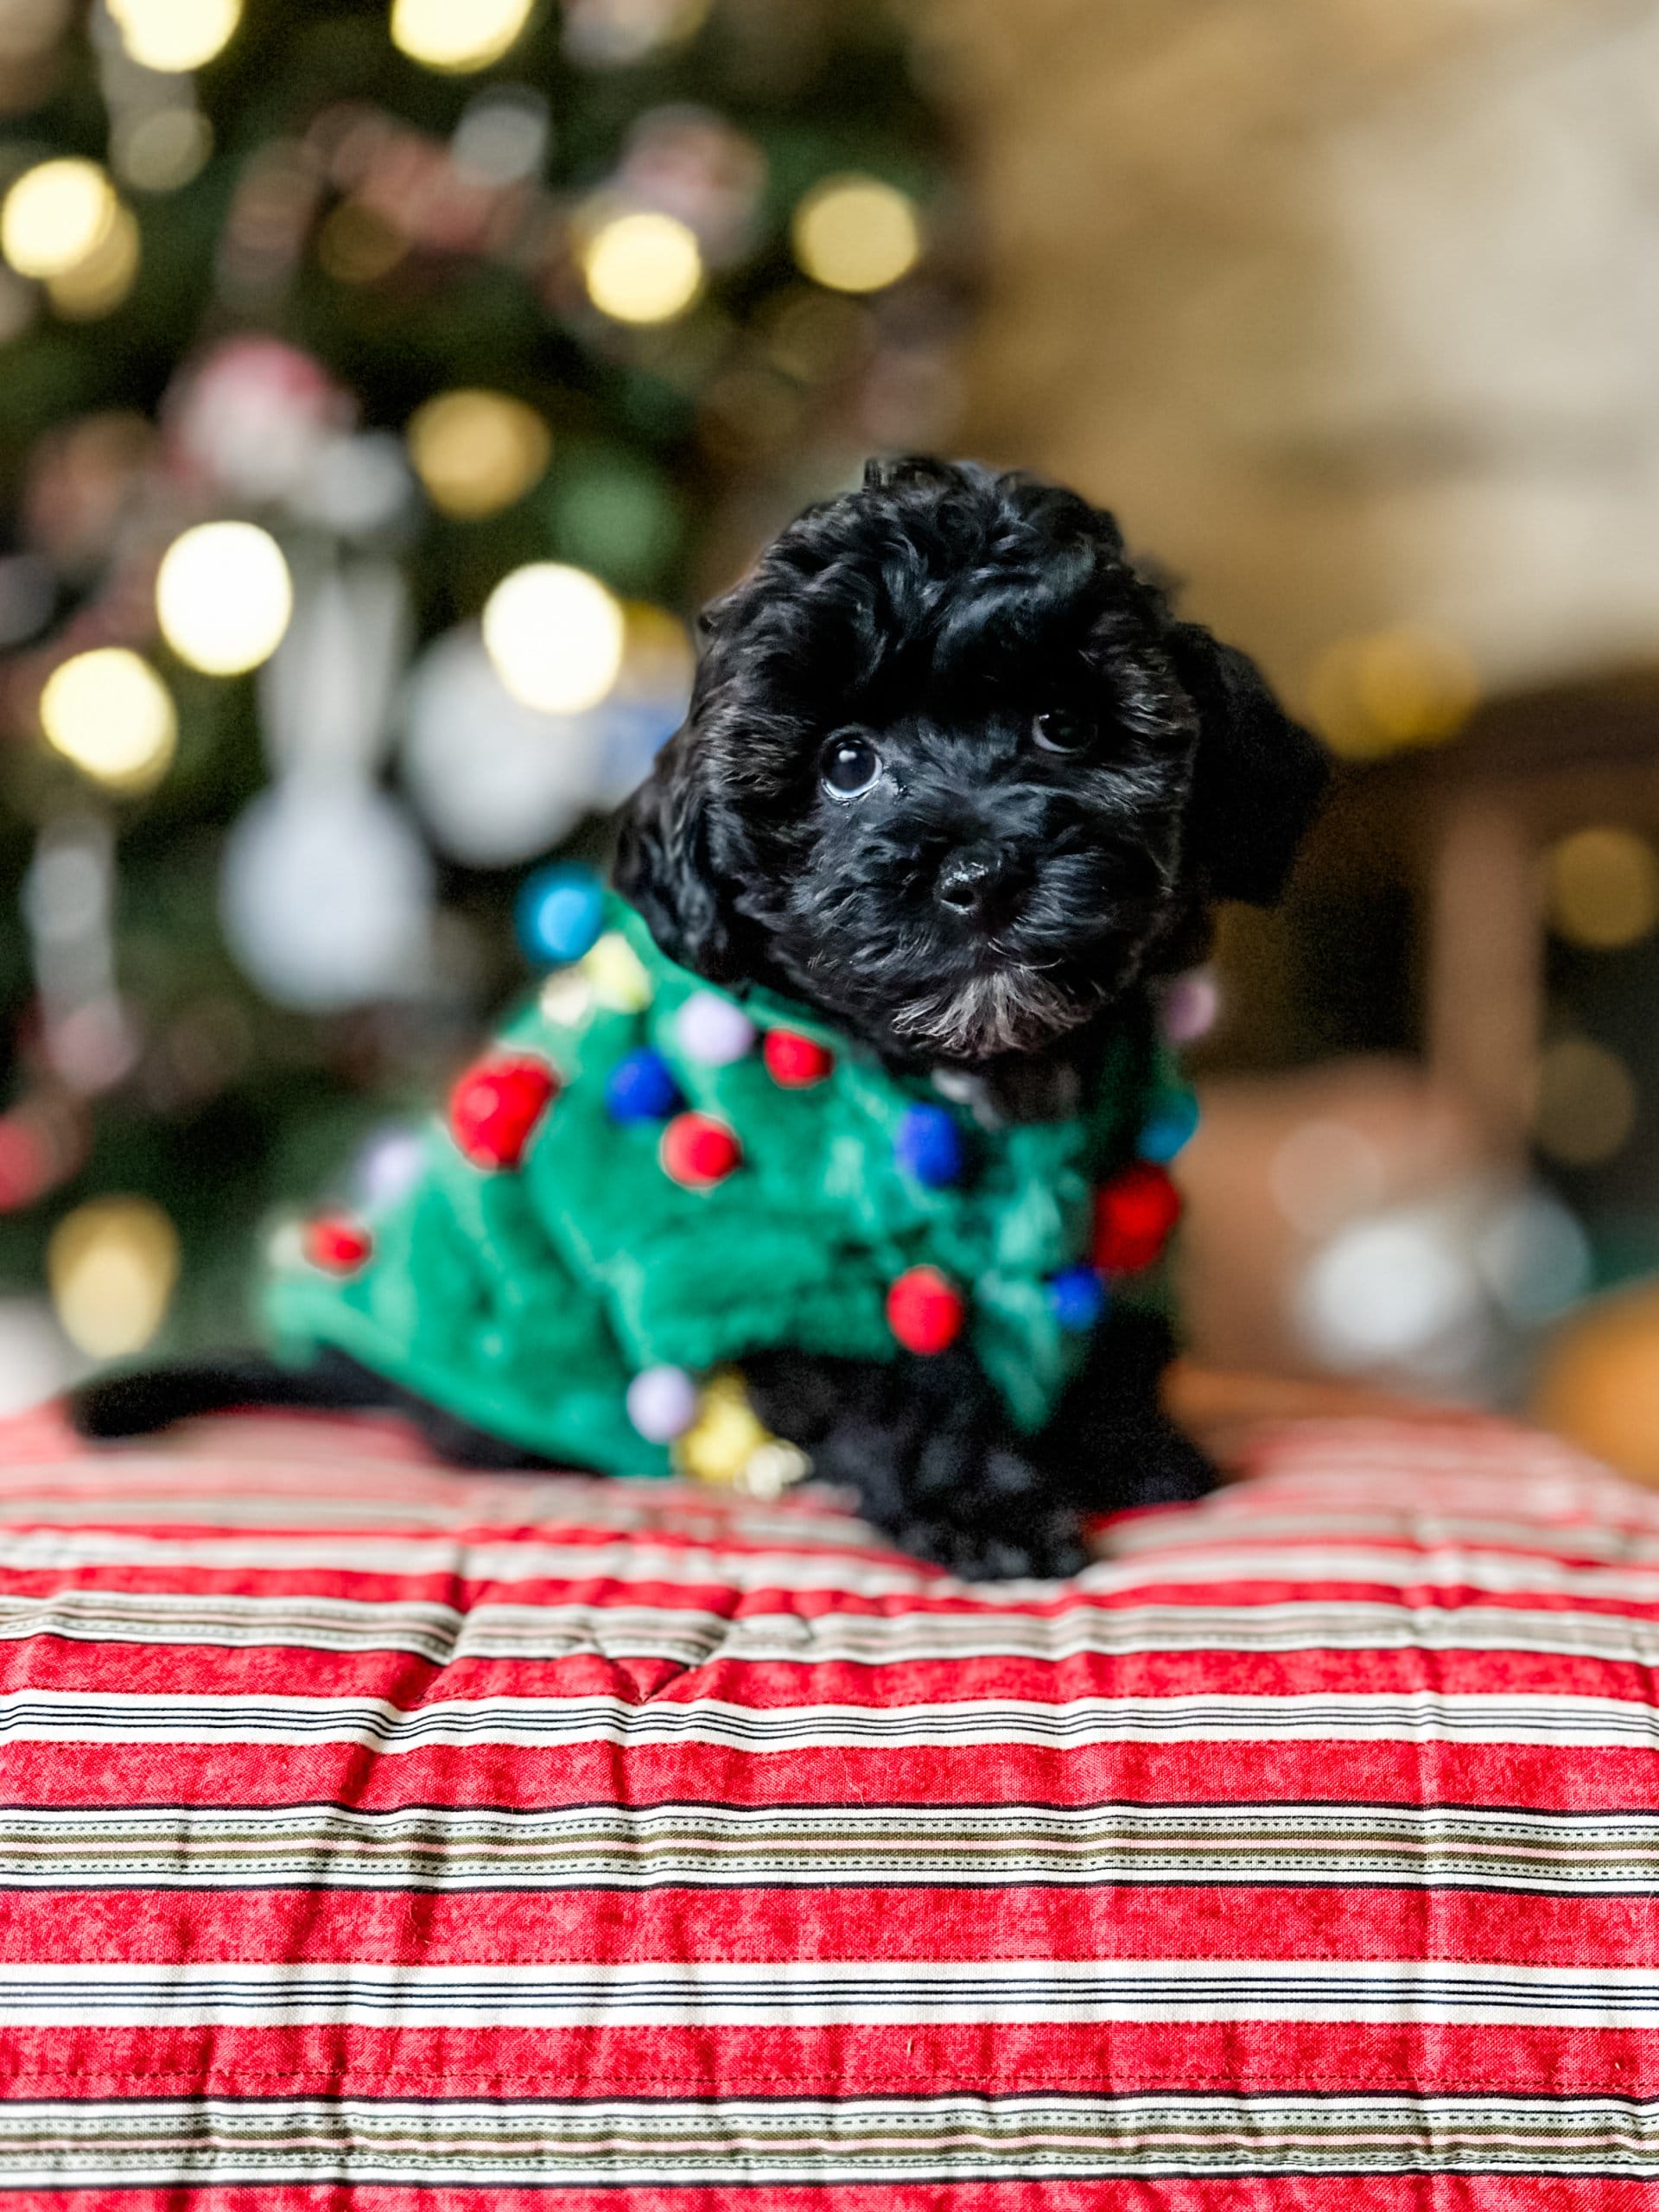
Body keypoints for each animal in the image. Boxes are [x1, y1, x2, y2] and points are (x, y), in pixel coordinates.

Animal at [78, 462, 1336, 1574]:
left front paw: (1136, 1449)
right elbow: (901, 1384)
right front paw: (984, 1508)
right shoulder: (760, 1254)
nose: (978, 874)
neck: (981, 1082)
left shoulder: (1123, 1206)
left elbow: (1115, 1337)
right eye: (844, 762)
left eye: (1064, 724)